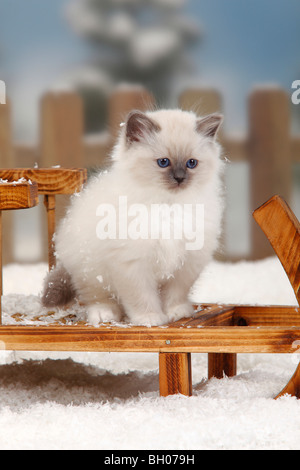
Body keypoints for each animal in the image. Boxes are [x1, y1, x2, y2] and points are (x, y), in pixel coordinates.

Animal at [42, 108, 225, 324]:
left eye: (191, 163)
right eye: (163, 162)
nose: (180, 178)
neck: (167, 206)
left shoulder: (187, 264)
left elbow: (176, 294)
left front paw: (176, 313)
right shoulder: (132, 264)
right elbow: (142, 298)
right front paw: (150, 320)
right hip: (90, 272)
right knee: (95, 297)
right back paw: (104, 314)